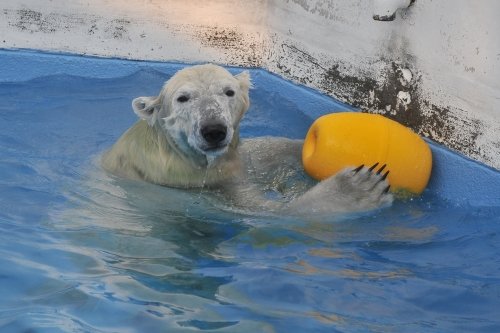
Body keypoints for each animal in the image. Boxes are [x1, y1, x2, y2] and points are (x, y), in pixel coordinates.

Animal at [100, 64, 390, 215]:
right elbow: (269, 210)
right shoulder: (195, 184)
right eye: (183, 98)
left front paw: (303, 146)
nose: (214, 130)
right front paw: (357, 188)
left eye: (228, 92)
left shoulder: (232, 162)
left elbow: (259, 154)